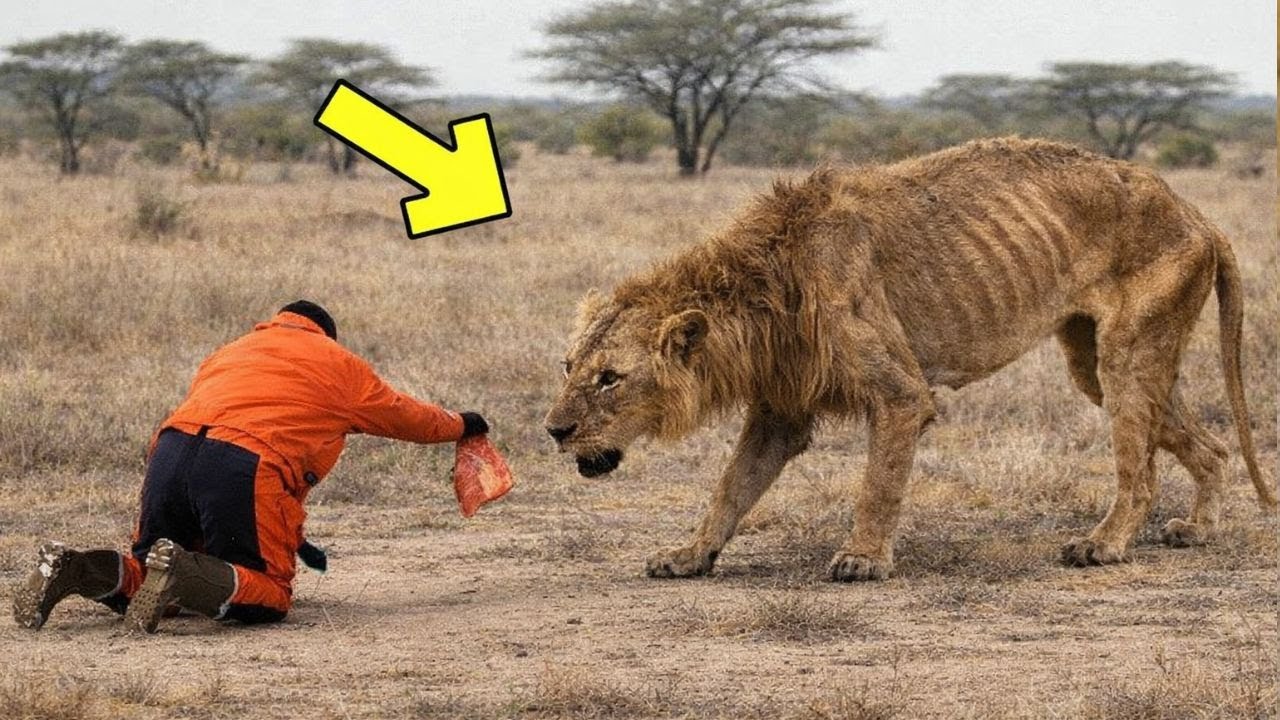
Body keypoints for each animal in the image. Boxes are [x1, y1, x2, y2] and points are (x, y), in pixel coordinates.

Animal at [544, 137, 1276, 582]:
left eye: (610, 379)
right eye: (568, 367)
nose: (553, 431)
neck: (762, 288)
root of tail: (1198, 212)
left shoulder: (899, 393)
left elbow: (879, 482)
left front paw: (863, 559)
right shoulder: (780, 407)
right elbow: (730, 487)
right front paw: (691, 554)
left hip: (1127, 351)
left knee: (1140, 468)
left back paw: (1104, 543)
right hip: (1091, 360)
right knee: (1208, 444)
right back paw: (1197, 528)